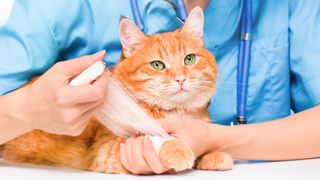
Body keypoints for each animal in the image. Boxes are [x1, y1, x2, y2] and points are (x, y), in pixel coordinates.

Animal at [0, 7, 232, 174]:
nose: (180, 79)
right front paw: (177, 148)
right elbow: (155, 139)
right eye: (157, 65)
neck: (176, 111)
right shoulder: (107, 151)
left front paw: (212, 155)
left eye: (189, 59)